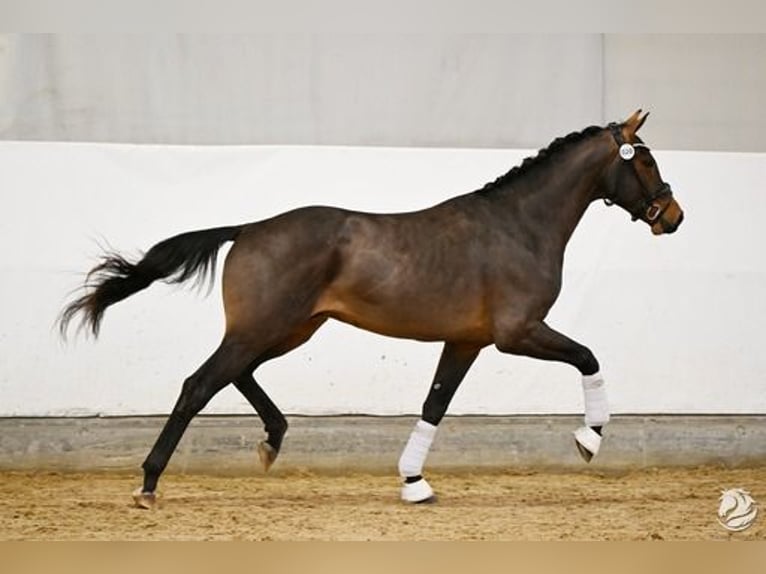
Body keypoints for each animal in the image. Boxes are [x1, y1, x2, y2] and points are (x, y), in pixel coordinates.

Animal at [60, 111, 684, 508]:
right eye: (647, 161)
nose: (674, 216)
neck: (519, 227)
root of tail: (249, 229)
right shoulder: (518, 333)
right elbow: (588, 357)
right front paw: (589, 439)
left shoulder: (467, 341)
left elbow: (435, 405)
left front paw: (414, 483)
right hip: (264, 328)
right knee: (199, 384)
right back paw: (148, 485)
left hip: (289, 330)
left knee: (238, 374)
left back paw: (271, 441)